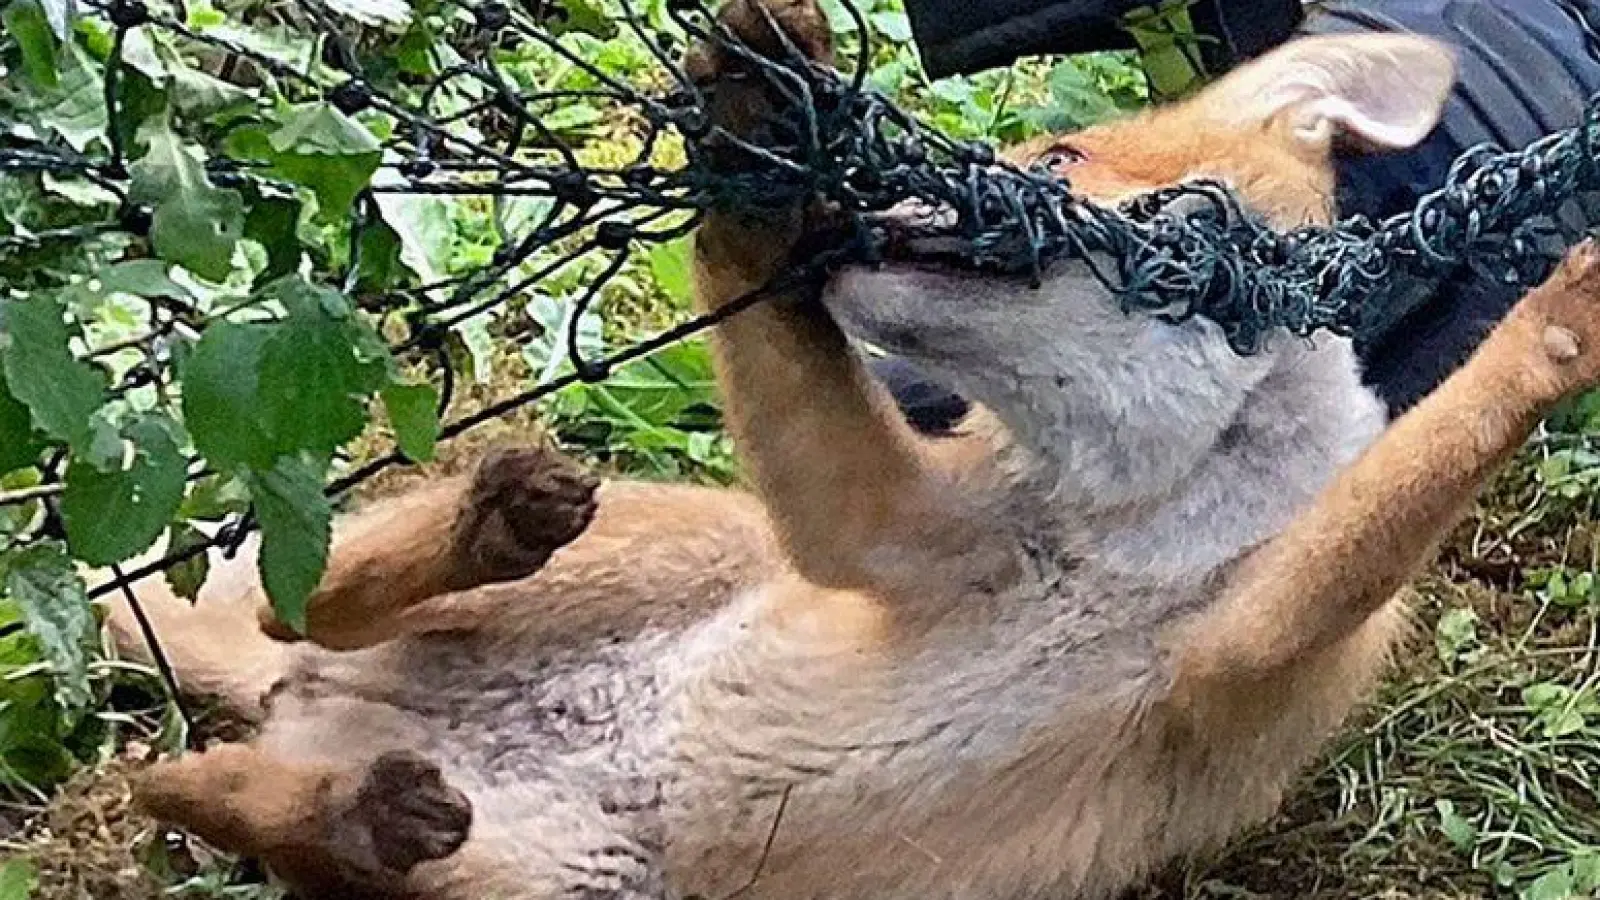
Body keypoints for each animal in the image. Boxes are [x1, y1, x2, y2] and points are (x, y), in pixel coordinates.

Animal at [98, 1, 1600, 898]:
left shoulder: (1245, 650)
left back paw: (335, 805)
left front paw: (1556, 313)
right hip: (649, 563)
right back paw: (479, 536)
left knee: (196, 780)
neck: (1139, 520)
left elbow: (1410, 466)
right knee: (298, 609)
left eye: (1057, 158)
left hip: (554, 877)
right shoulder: (884, 538)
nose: (857, 208)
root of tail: (317, 715)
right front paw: (753, 143)